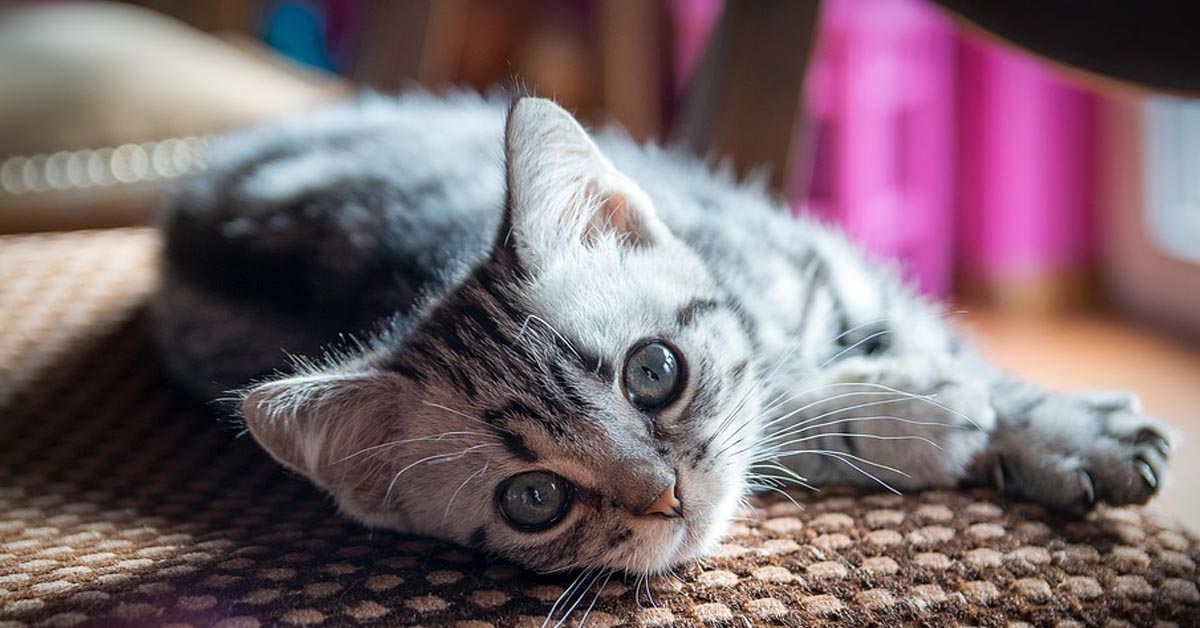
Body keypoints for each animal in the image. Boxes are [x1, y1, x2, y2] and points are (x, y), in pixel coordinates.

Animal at [154, 90, 1176, 578]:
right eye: (534, 499)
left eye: (654, 372)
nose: (663, 495)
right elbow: (789, 423)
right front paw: (912, 417)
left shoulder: (838, 267)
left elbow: (971, 365)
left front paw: (1062, 431)